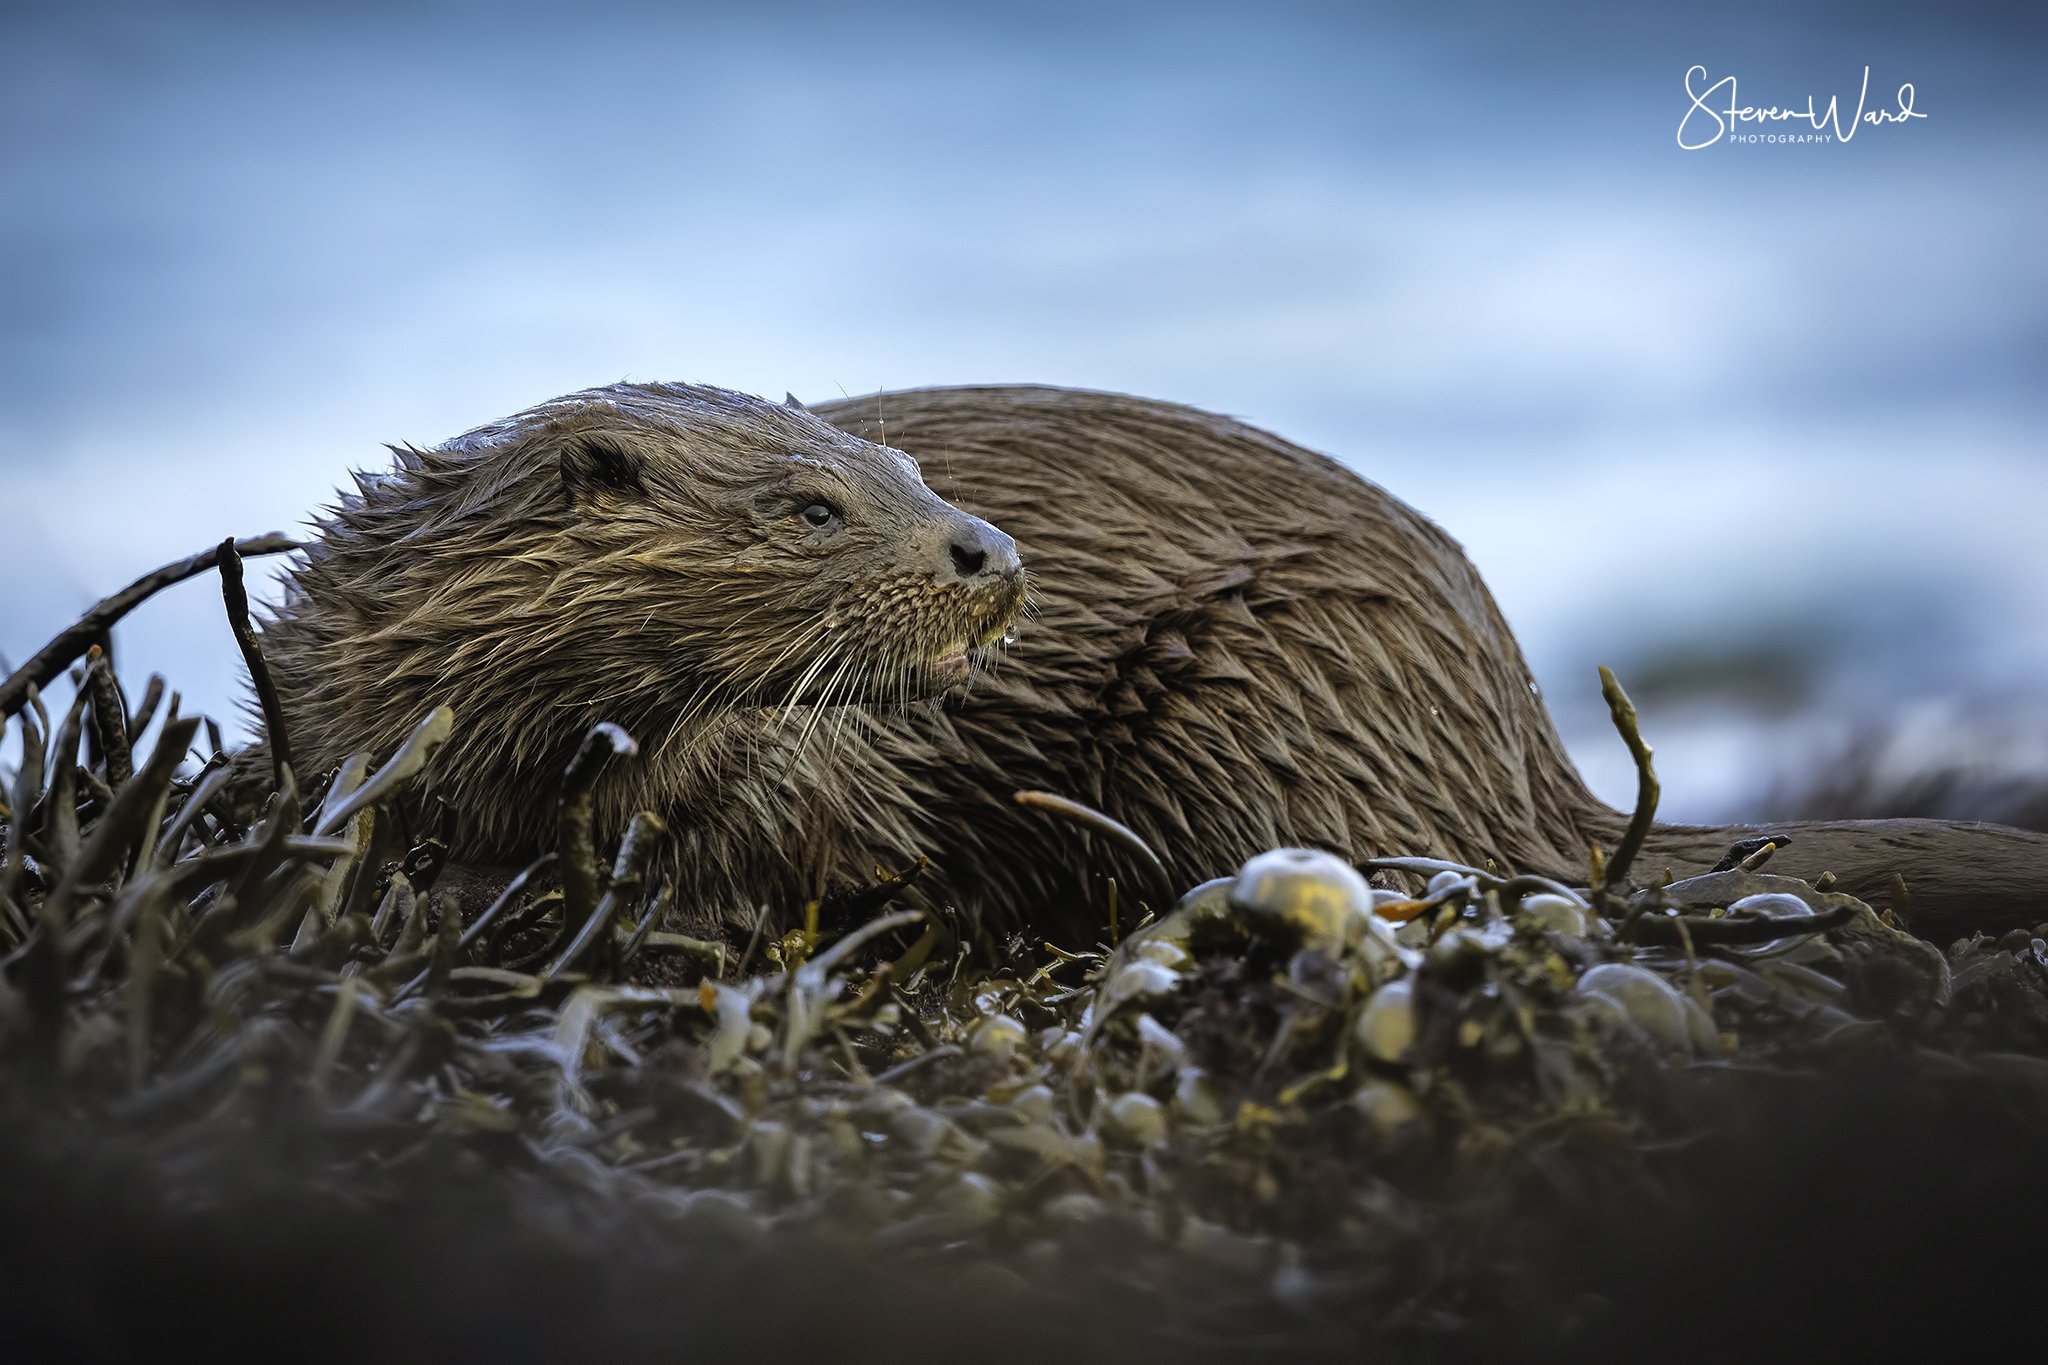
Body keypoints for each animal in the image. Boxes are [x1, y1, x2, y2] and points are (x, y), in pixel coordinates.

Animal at [260, 382, 2048, 944]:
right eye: (815, 500)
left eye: (913, 473)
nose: (989, 552)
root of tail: (1523, 736)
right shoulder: (318, 684)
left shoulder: (849, 756)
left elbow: (816, 812)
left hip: (1265, 686)